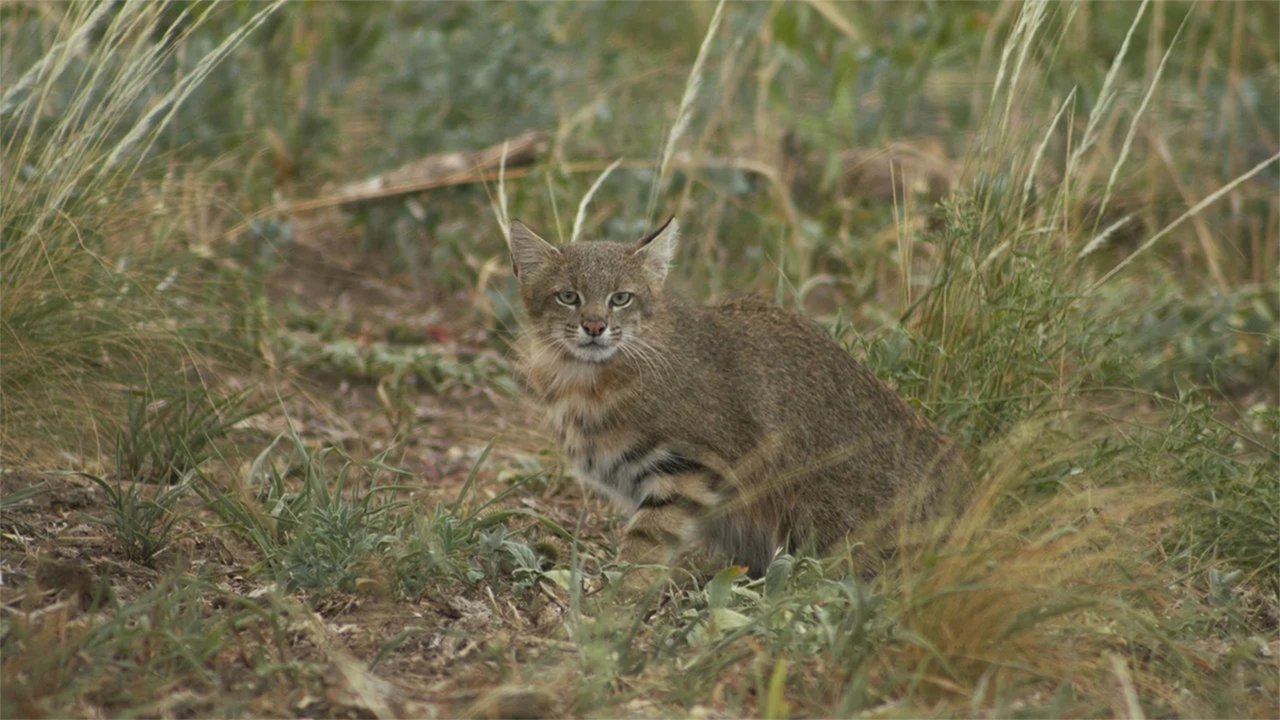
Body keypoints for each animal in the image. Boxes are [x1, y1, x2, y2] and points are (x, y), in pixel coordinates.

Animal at [504, 215, 957, 573]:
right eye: (568, 296)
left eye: (621, 298)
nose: (595, 327)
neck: (586, 374)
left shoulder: (692, 464)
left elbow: (647, 542)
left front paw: (613, 603)